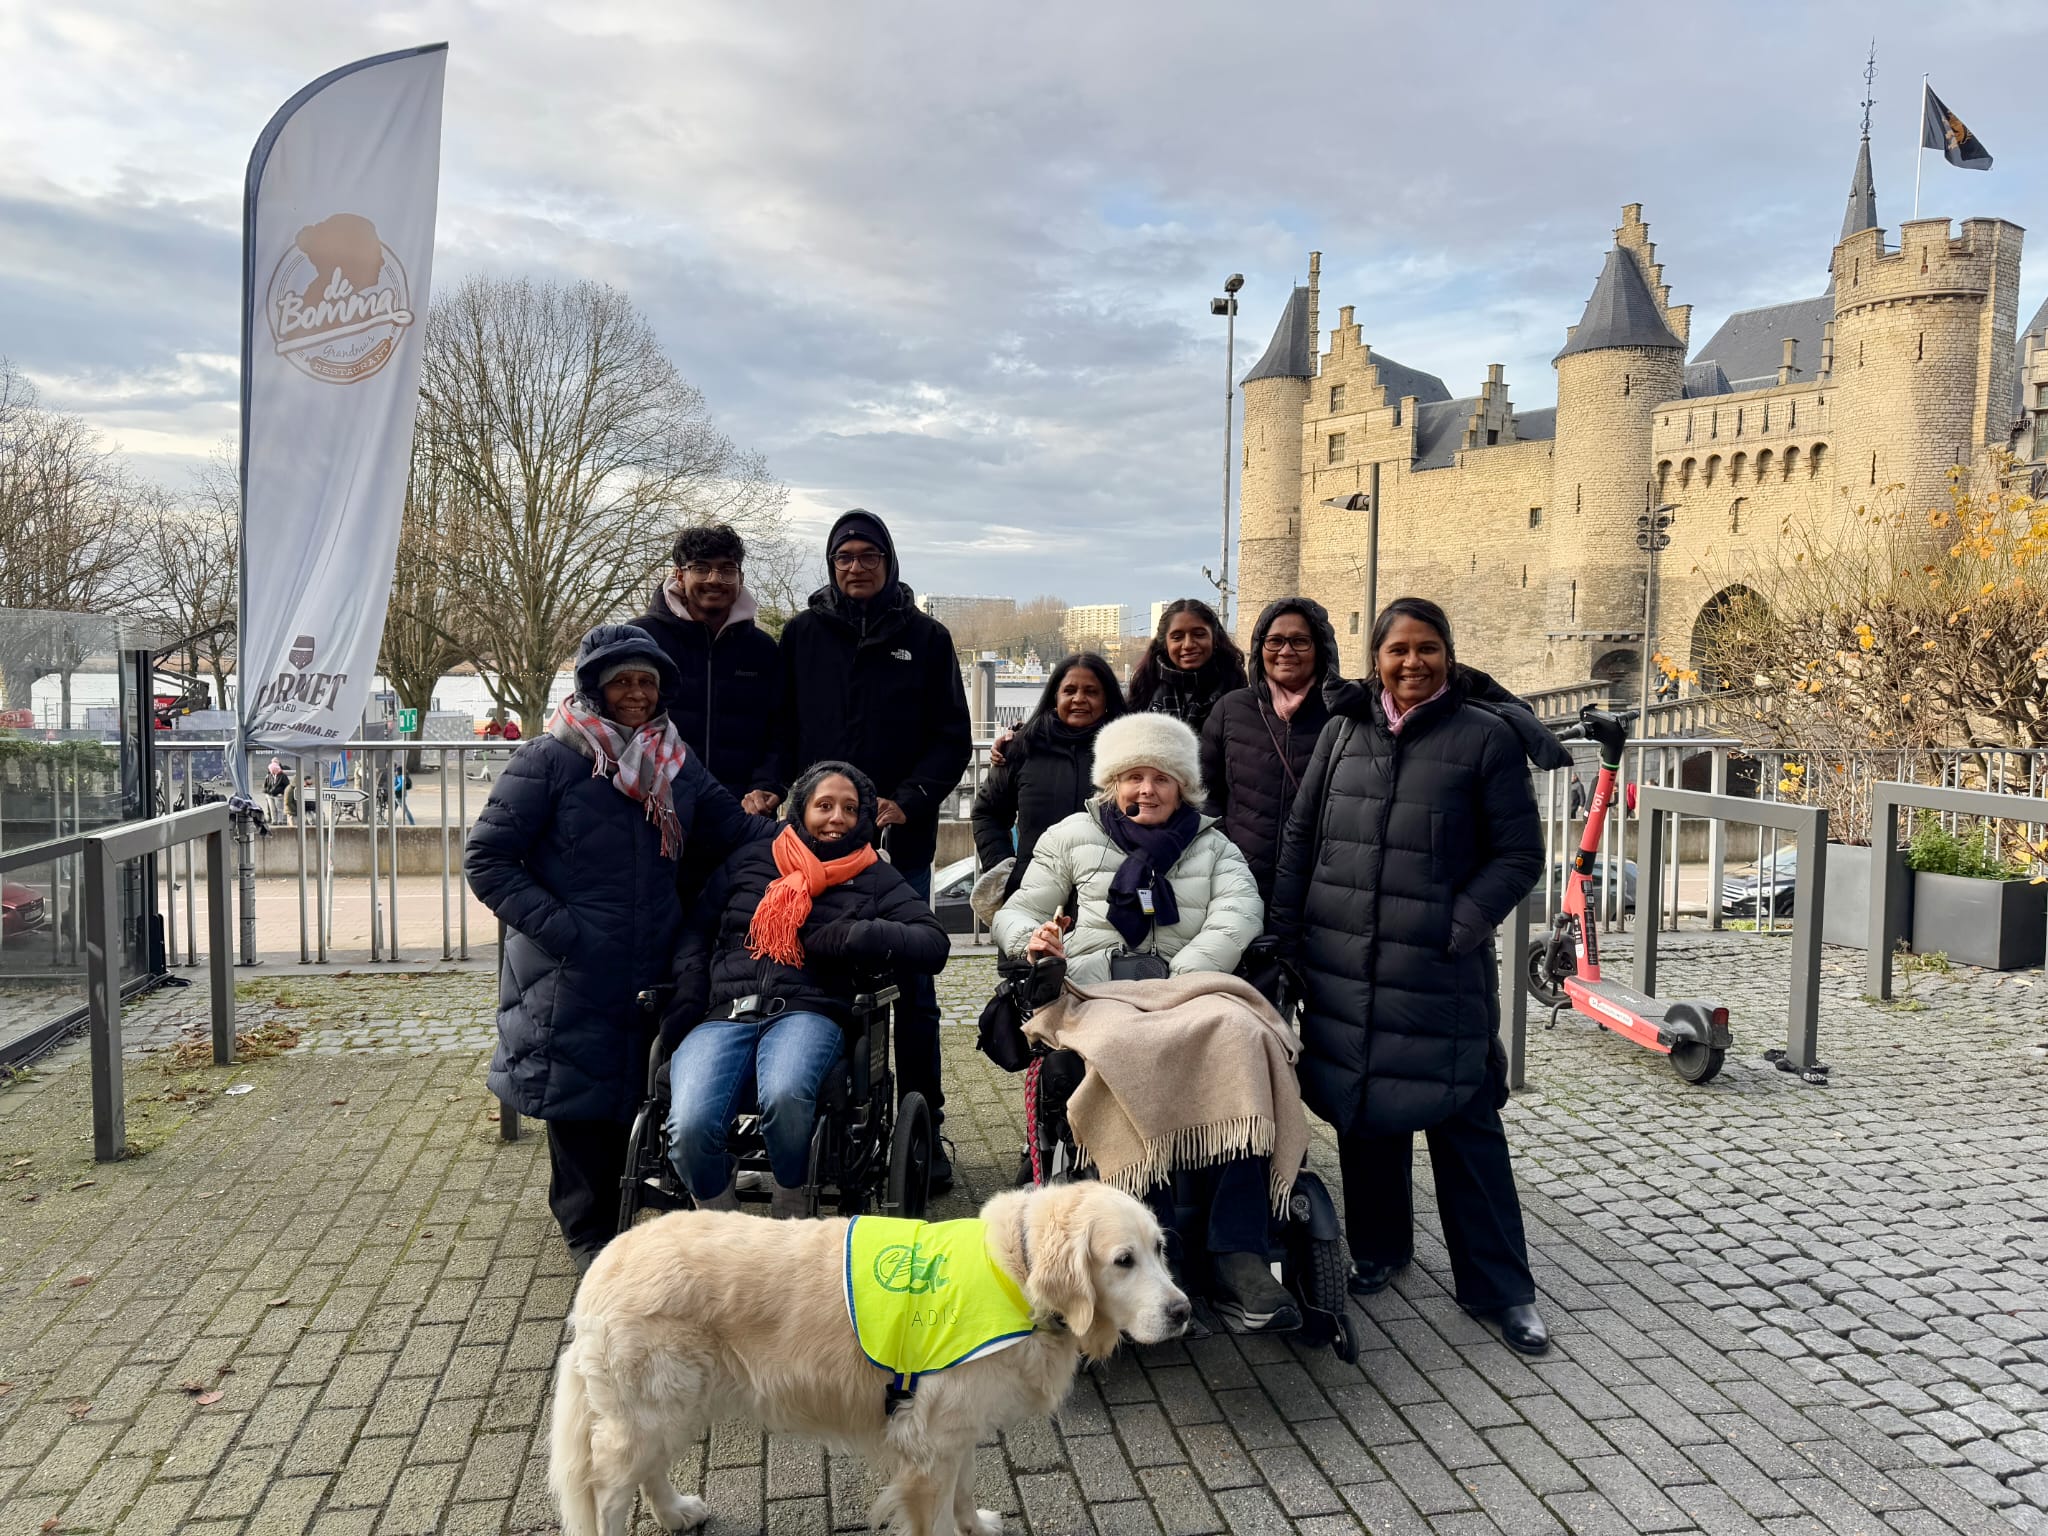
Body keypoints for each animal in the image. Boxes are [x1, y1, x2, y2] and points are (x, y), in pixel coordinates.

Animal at [548, 1187, 1187, 1531]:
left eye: (1160, 1249)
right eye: (1123, 1260)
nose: (1183, 1311)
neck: (1015, 1274)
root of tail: (604, 1262)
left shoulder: (954, 1433)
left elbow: (964, 1493)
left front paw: (976, 1524)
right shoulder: (927, 1447)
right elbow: (935, 1517)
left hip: (673, 1405)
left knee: (648, 1472)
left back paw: (677, 1511)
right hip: (651, 1407)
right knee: (607, 1496)